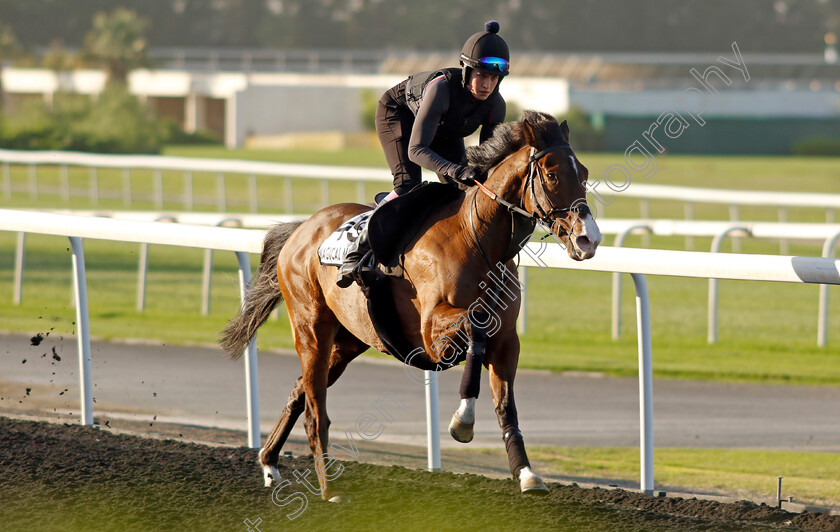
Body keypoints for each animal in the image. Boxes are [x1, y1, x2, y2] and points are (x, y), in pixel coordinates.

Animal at [221, 110, 604, 500]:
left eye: (584, 173)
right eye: (553, 175)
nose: (588, 240)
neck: (477, 239)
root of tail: (300, 229)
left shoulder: (507, 340)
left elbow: (505, 405)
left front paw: (526, 472)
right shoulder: (432, 332)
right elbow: (476, 327)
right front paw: (463, 421)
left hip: (348, 341)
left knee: (299, 393)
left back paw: (270, 462)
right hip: (312, 328)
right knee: (315, 411)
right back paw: (329, 488)